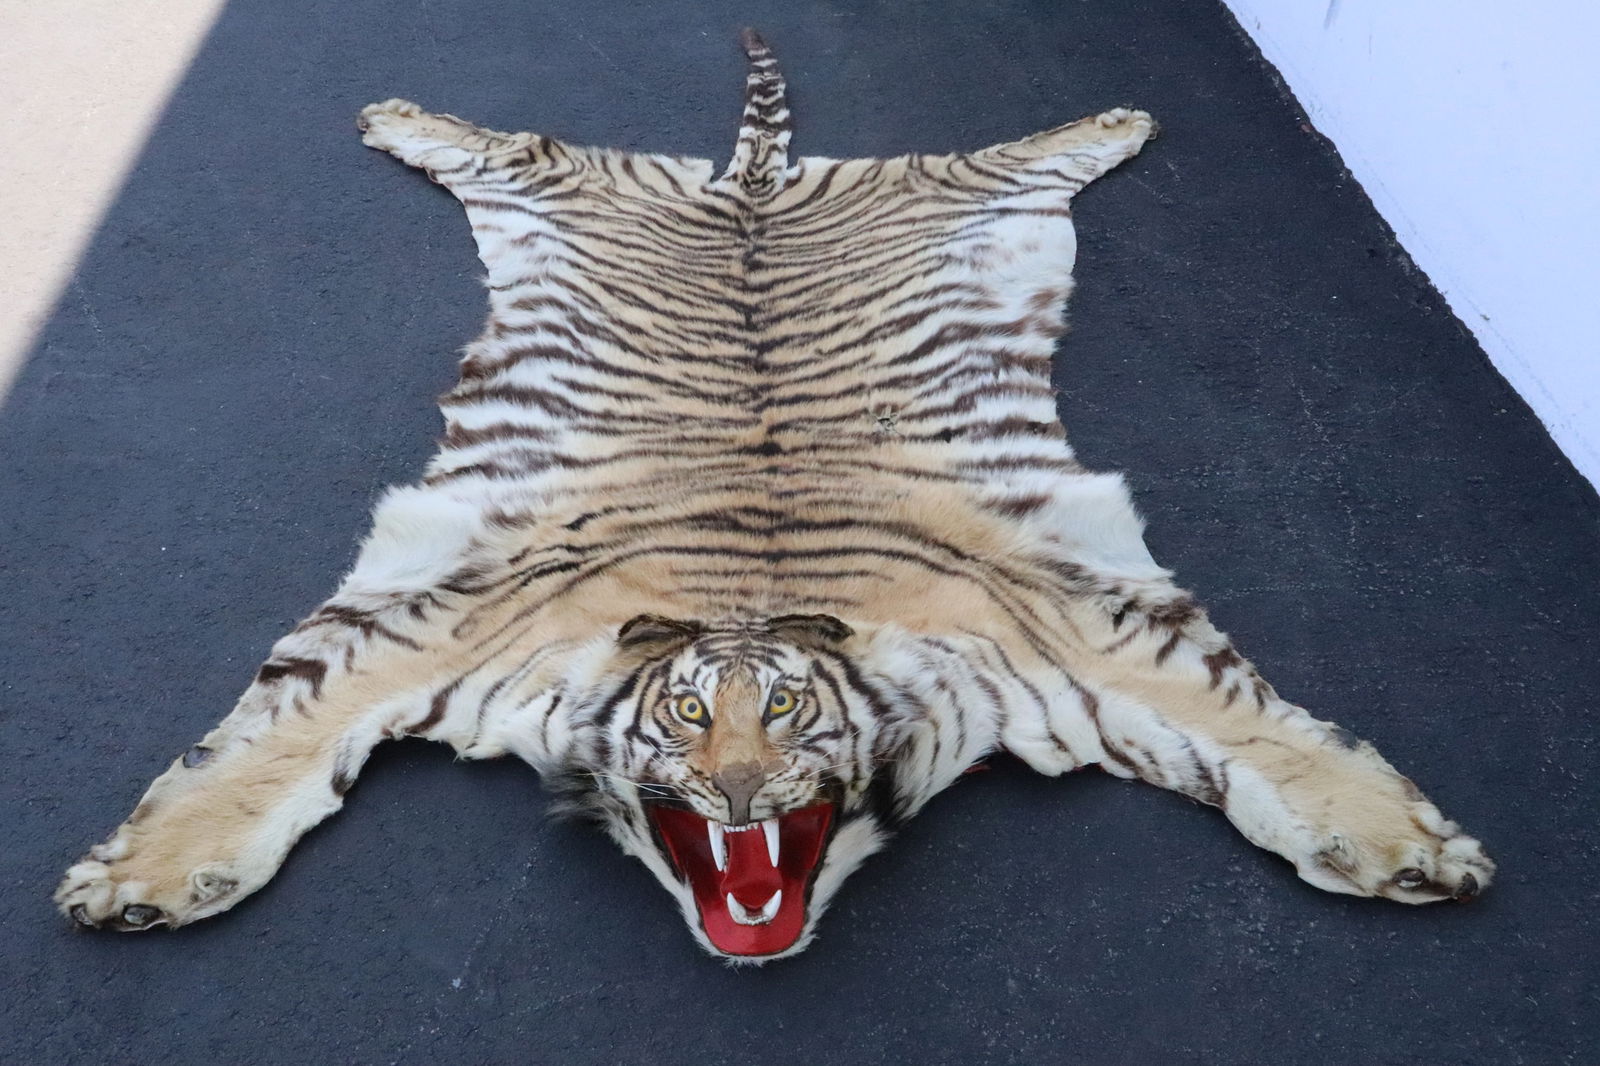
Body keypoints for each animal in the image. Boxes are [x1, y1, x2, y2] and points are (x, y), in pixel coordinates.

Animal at [56, 29, 1493, 963]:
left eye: (791, 714)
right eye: (687, 716)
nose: (741, 798)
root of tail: (752, 183)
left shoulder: (1084, 627)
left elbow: (1262, 734)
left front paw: (1408, 847)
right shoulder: (431, 623)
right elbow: (268, 746)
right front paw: (144, 878)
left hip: (947, 184)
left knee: (1013, 148)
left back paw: (1118, 120)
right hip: (584, 183)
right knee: (520, 141)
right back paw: (395, 113)